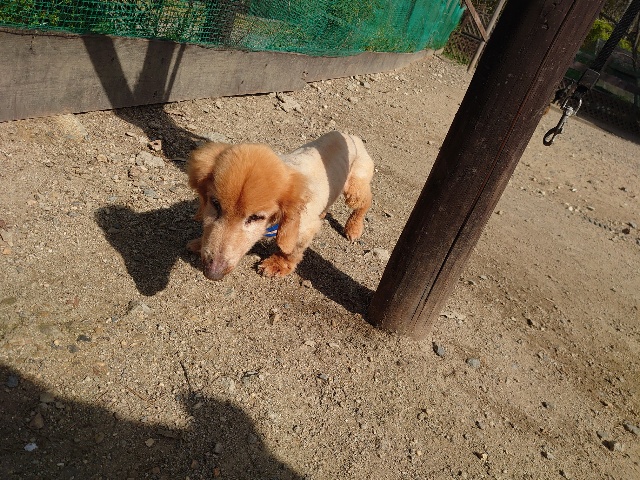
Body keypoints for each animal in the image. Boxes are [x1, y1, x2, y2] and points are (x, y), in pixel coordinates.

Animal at [187, 131, 374, 280]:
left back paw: (353, 228)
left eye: (256, 217)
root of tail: (350, 135)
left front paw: (278, 264)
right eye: (215, 204)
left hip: (354, 189)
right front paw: (199, 243)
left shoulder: (305, 229)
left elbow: (291, 251)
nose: (212, 273)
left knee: (366, 201)